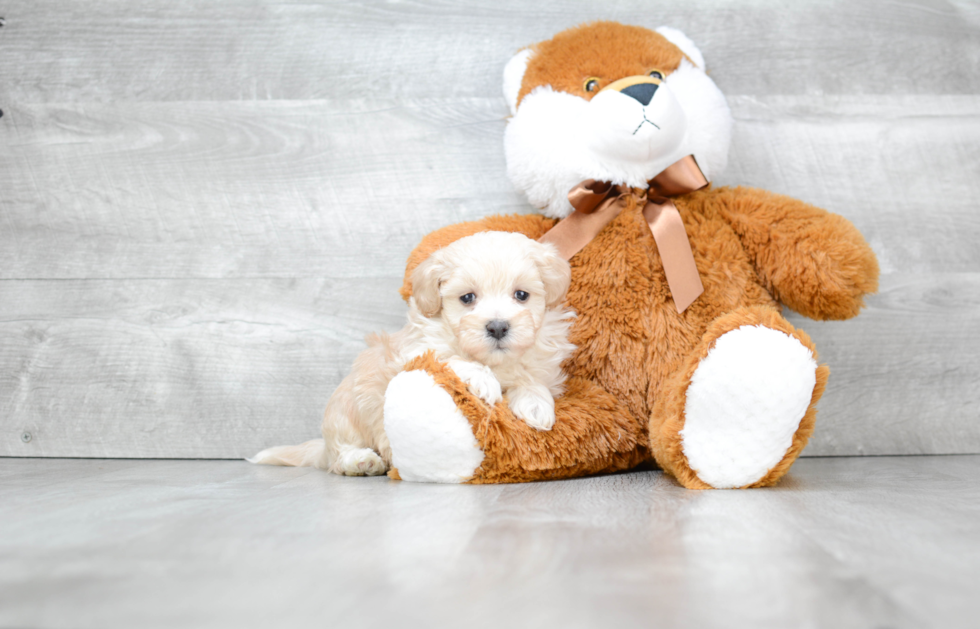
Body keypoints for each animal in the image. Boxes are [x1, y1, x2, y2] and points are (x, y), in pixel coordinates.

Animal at [249, 232, 580, 476]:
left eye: (521, 295)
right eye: (467, 298)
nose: (497, 327)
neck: (493, 360)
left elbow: (531, 379)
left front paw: (536, 405)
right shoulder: (413, 354)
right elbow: (450, 358)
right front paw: (483, 379)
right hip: (345, 412)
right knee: (340, 454)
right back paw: (361, 461)